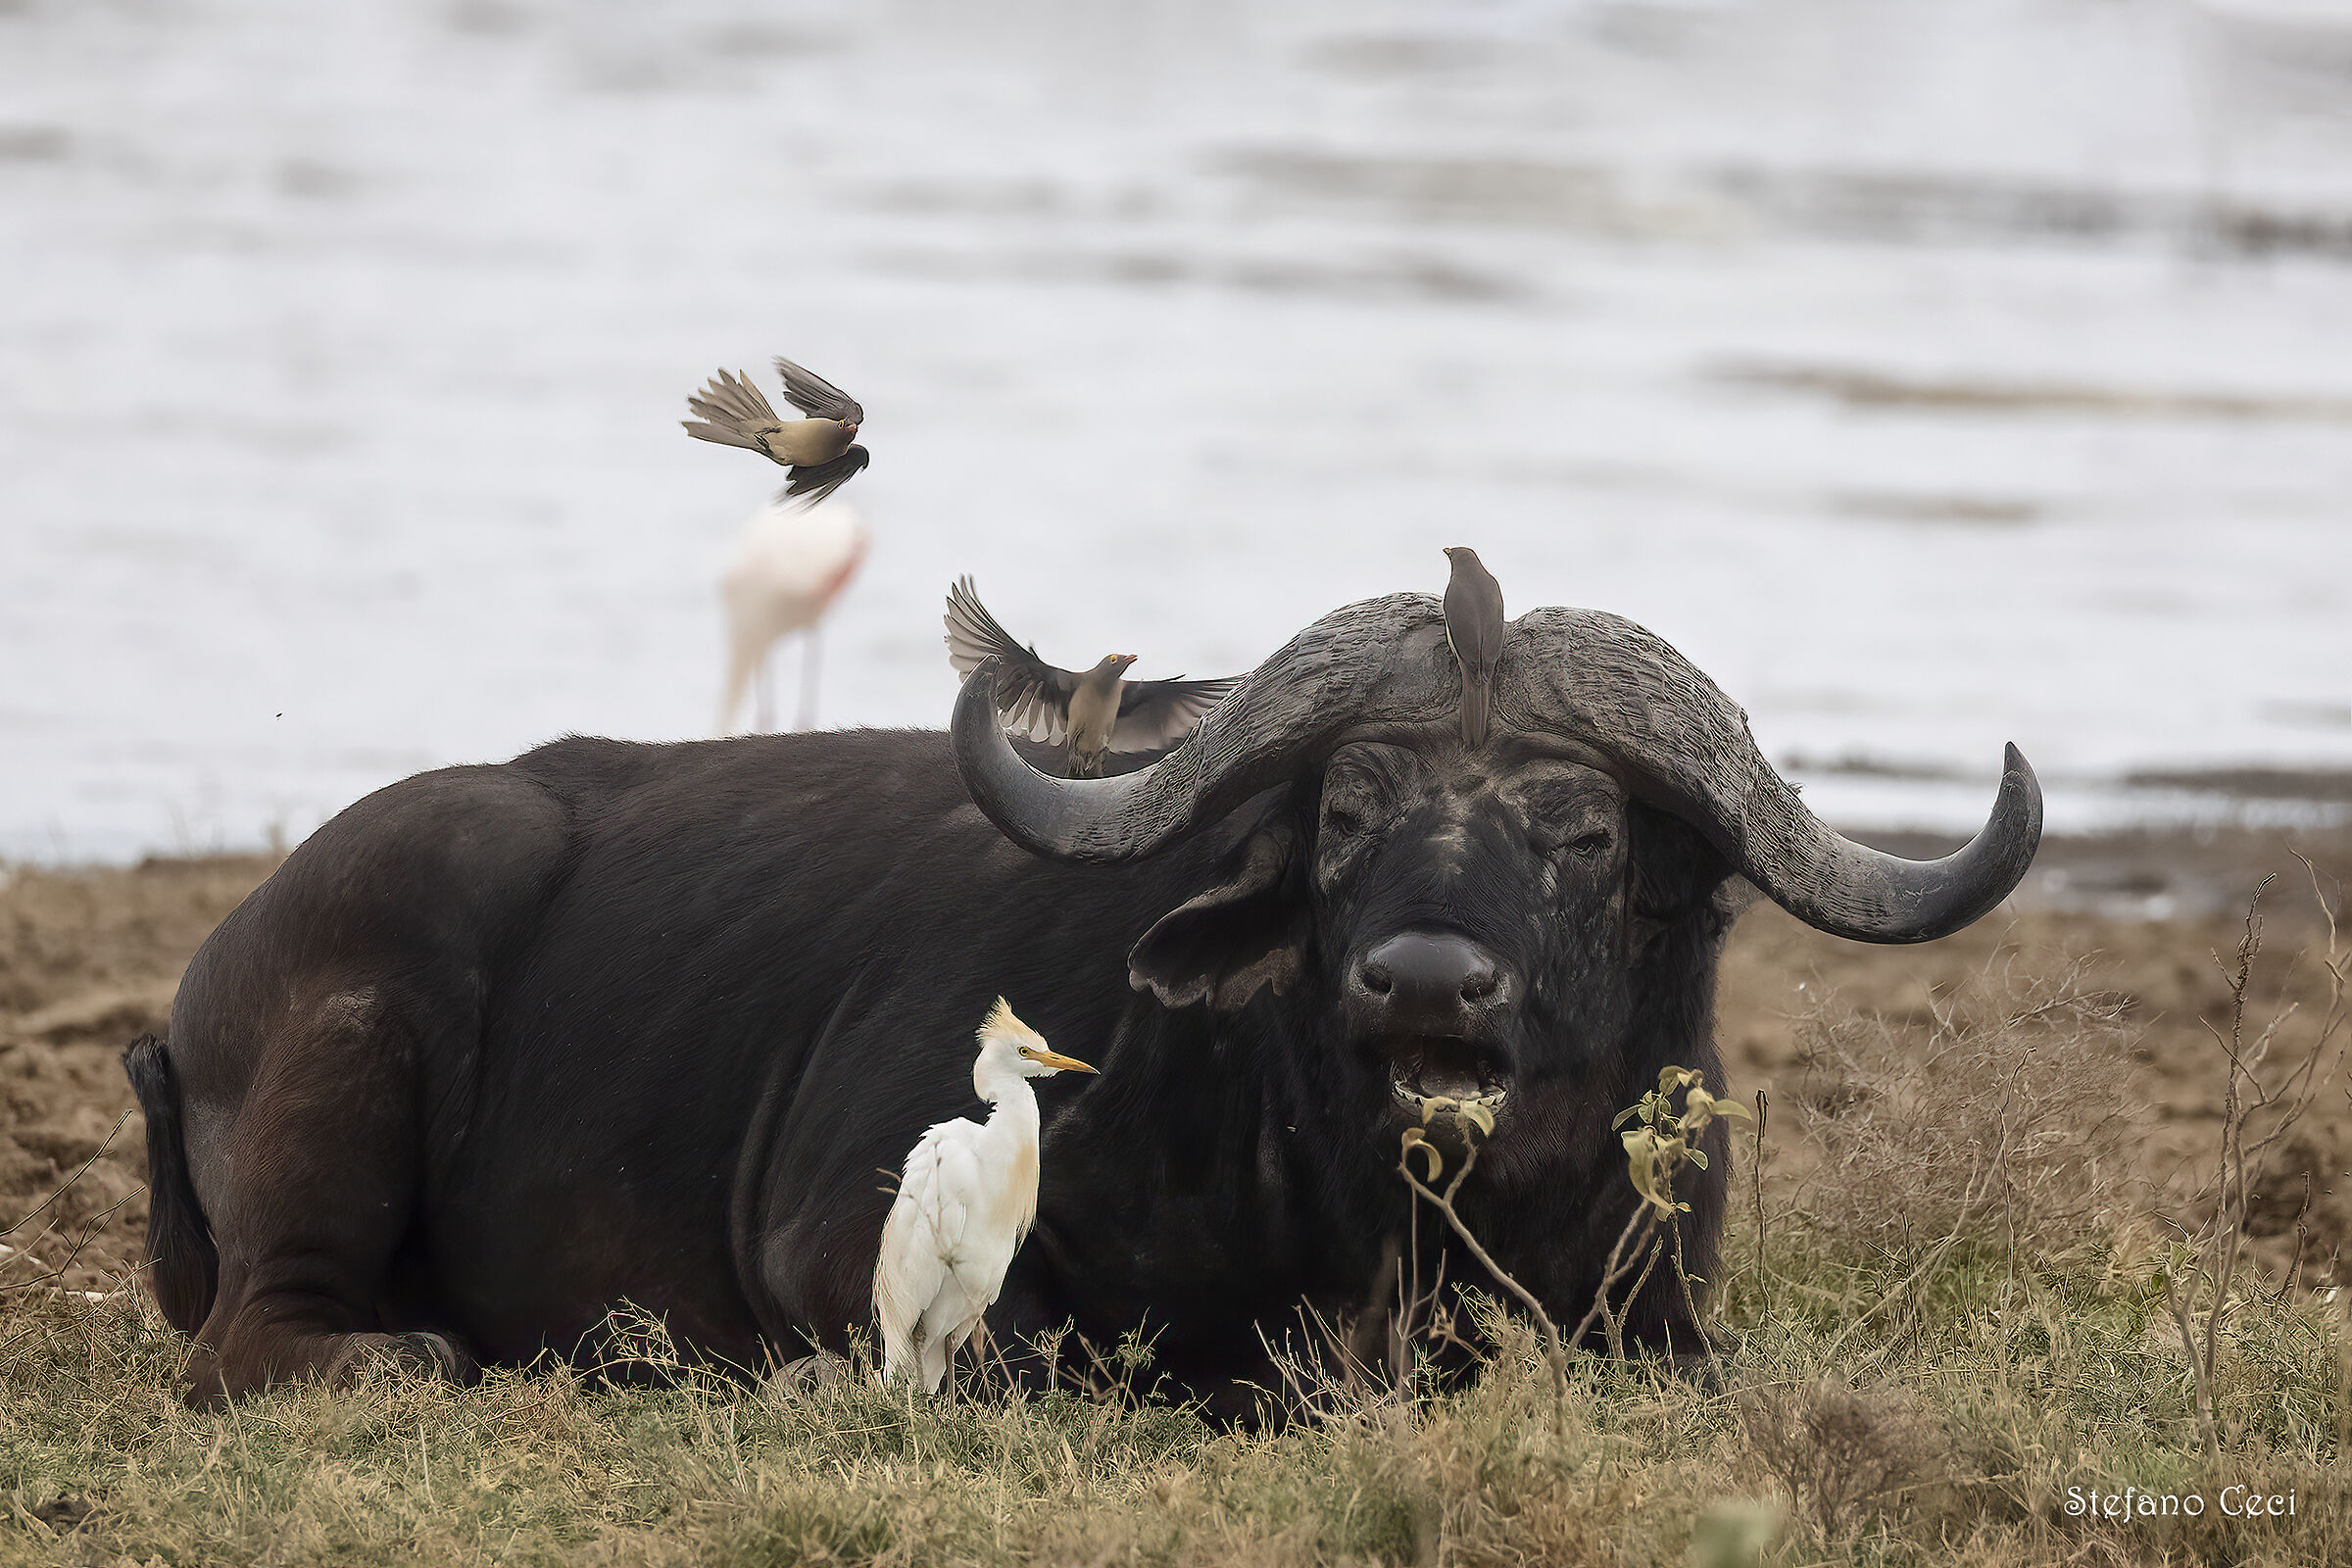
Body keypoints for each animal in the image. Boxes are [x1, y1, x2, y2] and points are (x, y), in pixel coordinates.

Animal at [126, 588, 2039, 1413]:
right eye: (1345, 812)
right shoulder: (853, 1252)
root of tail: (205, 988)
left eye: (1580, 828)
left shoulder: (1663, 1316)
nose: (1425, 978)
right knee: (278, 1344)